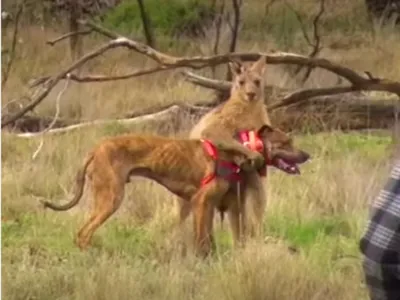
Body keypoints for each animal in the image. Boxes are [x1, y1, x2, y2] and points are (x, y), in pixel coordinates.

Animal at [43, 130, 266, 256]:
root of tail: (96, 148)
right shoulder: (201, 203)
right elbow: (202, 240)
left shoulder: (207, 206)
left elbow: (207, 239)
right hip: (111, 200)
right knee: (84, 233)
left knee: (82, 233)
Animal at [189, 55, 274, 239]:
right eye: (241, 82)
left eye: (257, 81)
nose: (251, 94)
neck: (250, 109)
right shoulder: (215, 128)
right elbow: (224, 138)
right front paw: (251, 154)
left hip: (247, 190)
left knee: (253, 207)